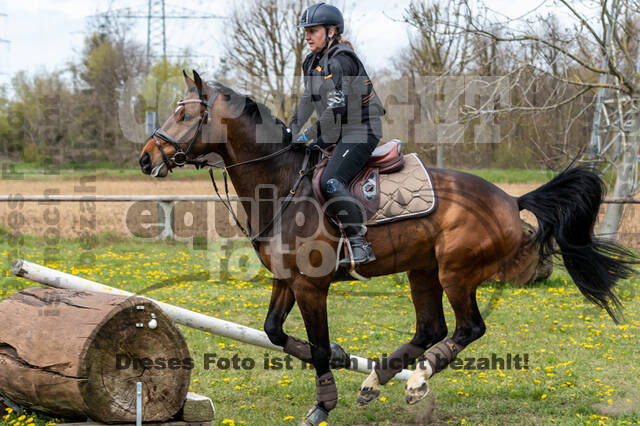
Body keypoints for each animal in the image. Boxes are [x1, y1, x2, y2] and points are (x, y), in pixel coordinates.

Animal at [139, 71, 636, 424]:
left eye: (185, 115)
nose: (146, 158)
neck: (281, 186)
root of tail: (510, 200)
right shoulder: (287, 279)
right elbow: (275, 332)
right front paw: (344, 359)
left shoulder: (312, 285)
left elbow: (316, 345)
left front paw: (323, 404)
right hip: (422, 271)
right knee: (431, 328)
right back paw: (377, 380)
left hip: (455, 271)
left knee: (468, 328)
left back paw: (416, 380)